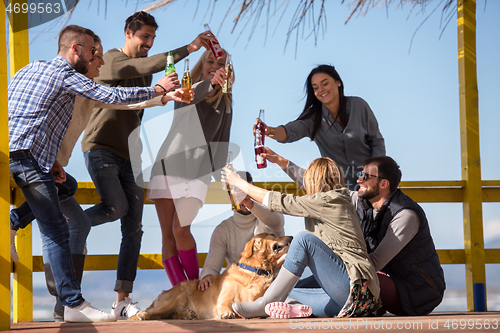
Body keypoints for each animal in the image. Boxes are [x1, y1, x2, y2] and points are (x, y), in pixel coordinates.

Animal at [129, 231, 292, 320]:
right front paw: (227, 313)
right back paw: (143, 315)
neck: (254, 270)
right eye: (272, 234)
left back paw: (186, 314)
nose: (291, 236)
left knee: (167, 314)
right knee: (152, 312)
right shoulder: (223, 299)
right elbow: (225, 305)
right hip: (176, 297)